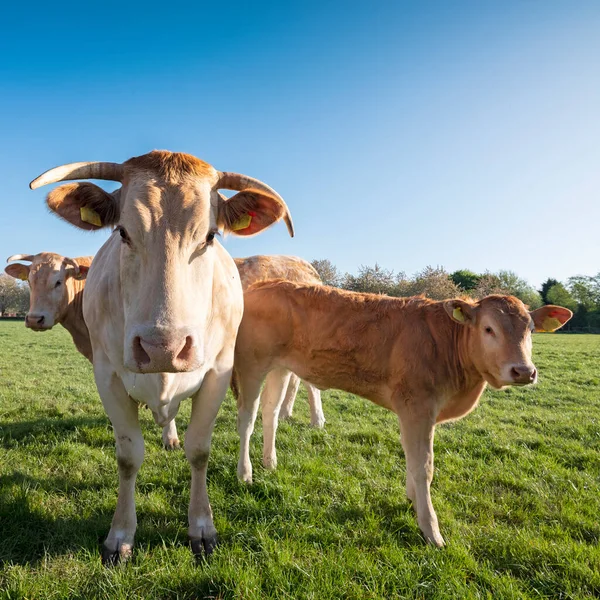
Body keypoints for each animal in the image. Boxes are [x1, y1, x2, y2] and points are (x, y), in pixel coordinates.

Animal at [29, 150, 292, 564]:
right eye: (122, 232)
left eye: (210, 236)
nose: (162, 348)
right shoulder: (107, 376)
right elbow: (128, 456)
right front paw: (120, 535)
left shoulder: (219, 372)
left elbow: (199, 450)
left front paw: (201, 528)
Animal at [233, 282, 572, 548]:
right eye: (489, 329)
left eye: (531, 330)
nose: (524, 371)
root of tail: (264, 284)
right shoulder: (416, 406)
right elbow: (424, 466)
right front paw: (431, 529)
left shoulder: (417, 411)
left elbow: (412, 459)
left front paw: (412, 500)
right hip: (251, 363)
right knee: (247, 419)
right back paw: (245, 473)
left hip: (280, 367)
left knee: (270, 412)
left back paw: (270, 462)